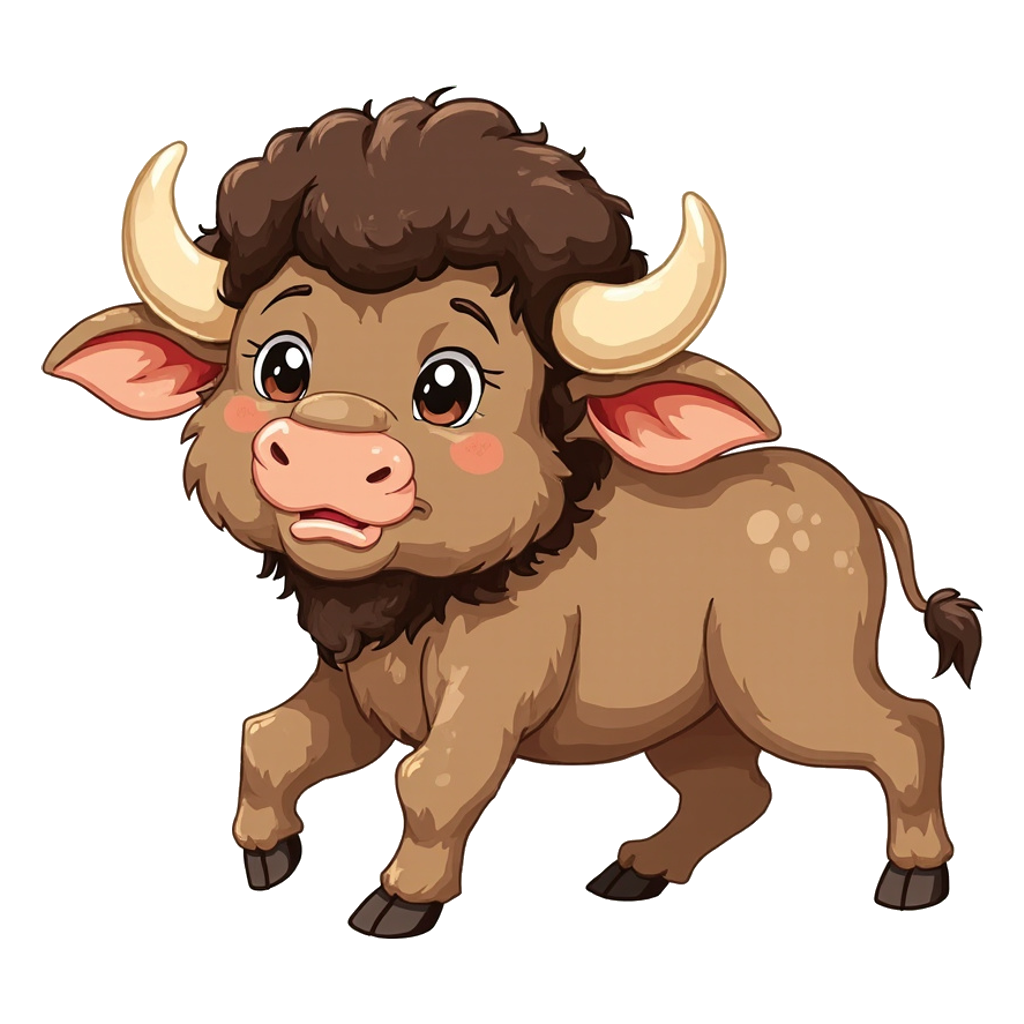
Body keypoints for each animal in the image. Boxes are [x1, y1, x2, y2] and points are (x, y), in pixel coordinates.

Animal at [44, 91, 981, 937]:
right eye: (281, 365)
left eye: (446, 387)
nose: (325, 449)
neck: (423, 602)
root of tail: (854, 497)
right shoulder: (350, 688)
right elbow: (272, 737)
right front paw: (267, 854)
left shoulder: (494, 686)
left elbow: (432, 782)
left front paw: (398, 903)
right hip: (699, 717)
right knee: (737, 788)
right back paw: (636, 873)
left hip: (789, 687)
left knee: (910, 727)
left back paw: (913, 878)